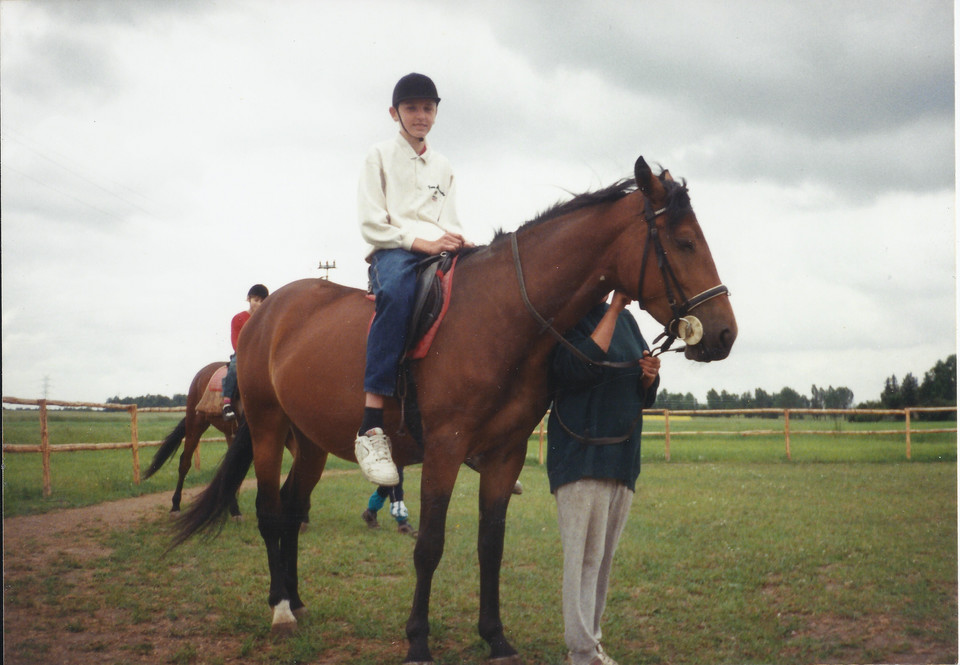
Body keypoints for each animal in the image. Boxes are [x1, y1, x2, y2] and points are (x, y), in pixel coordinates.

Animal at [176, 157, 740, 664]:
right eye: (684, 242)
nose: (724, 333)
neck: (500, 313)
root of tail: (268, 314)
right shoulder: (445, 449)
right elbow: (430, 544)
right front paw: (418, 642)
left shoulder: (506, 453)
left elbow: (491, 544)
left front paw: (495, 638)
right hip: (269, 429)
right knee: (270, 512)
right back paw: (280, 611)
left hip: (310, 440)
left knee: (294, 511)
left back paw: (296, 600)